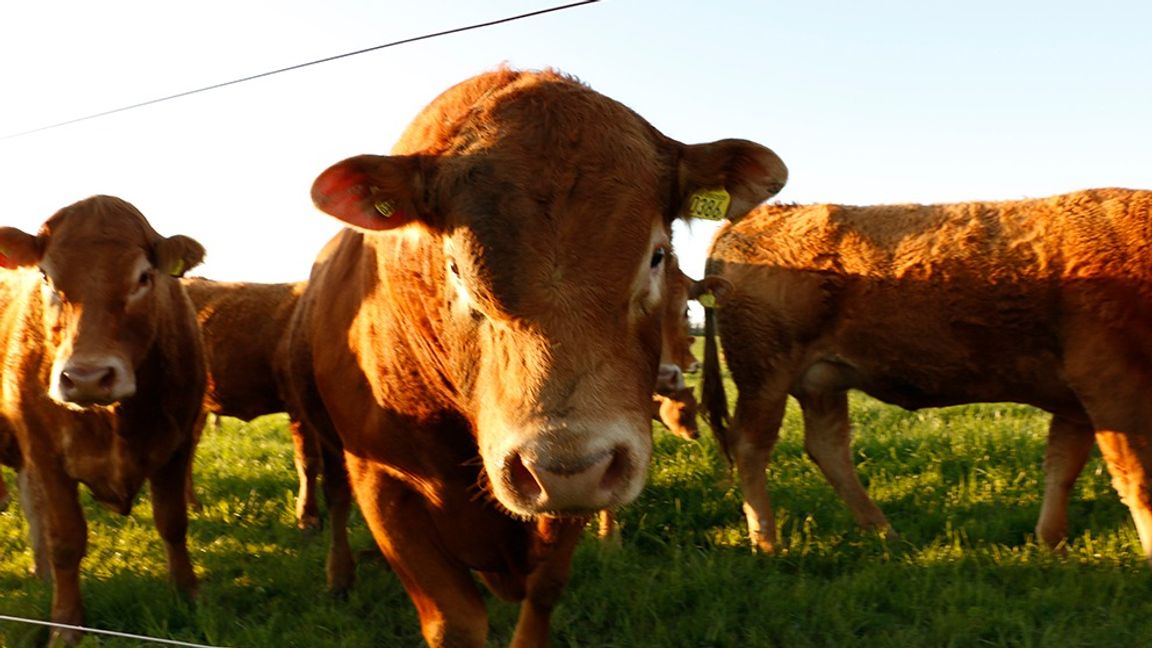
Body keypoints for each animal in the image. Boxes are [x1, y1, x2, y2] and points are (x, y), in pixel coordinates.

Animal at [0, 193, 205, 641]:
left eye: (144, 277)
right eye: (46, 276)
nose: (87, 378)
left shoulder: (178, 444)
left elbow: (172, 522)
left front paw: (187, 595)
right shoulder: (44, 455)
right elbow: (65, 540)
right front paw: (65, 625)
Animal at [279, 66, 787, 645]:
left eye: (657, 255)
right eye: (454, 268)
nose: (561, 465)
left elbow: (544, 590)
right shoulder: (382, 481)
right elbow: (455, 620)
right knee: (336, 498)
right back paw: (340, 574)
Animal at [695, 187, 1152, 560]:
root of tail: (755, 217)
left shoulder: (1077, 399)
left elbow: (1062, 467)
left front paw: (1051, 542)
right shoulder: (1109, 385)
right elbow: (1138, 479)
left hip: (820, 382)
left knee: (827, 447)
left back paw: (884, 533)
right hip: (765, 375)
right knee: (751, 446)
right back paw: (768, 542)